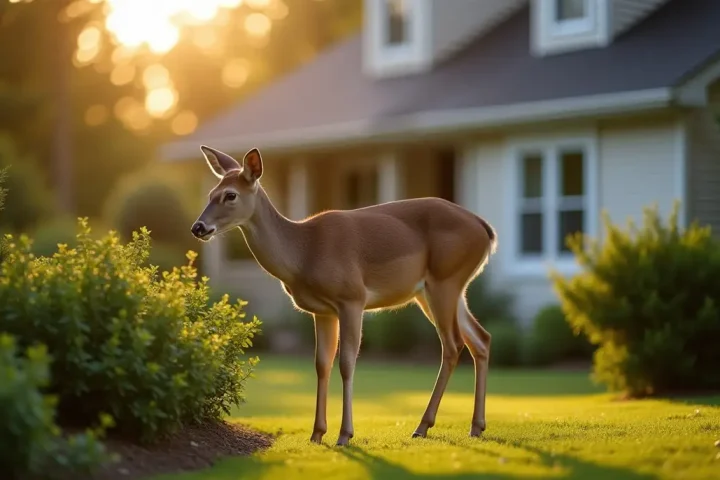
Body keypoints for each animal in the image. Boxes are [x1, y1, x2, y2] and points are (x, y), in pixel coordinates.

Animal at [190, 145, 498, 447]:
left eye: (230, 195)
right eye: (210, 194)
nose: (198, 227)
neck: (303, 253)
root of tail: (486, 228)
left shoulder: (352, 298)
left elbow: (347, 363)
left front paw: (344, 434)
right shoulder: (322, 311)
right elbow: (321, 364)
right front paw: (317, 433)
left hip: (445, 280)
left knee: (453, 344)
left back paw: (422, 426)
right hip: (439, 290)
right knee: (480, 338)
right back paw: (476, 426)